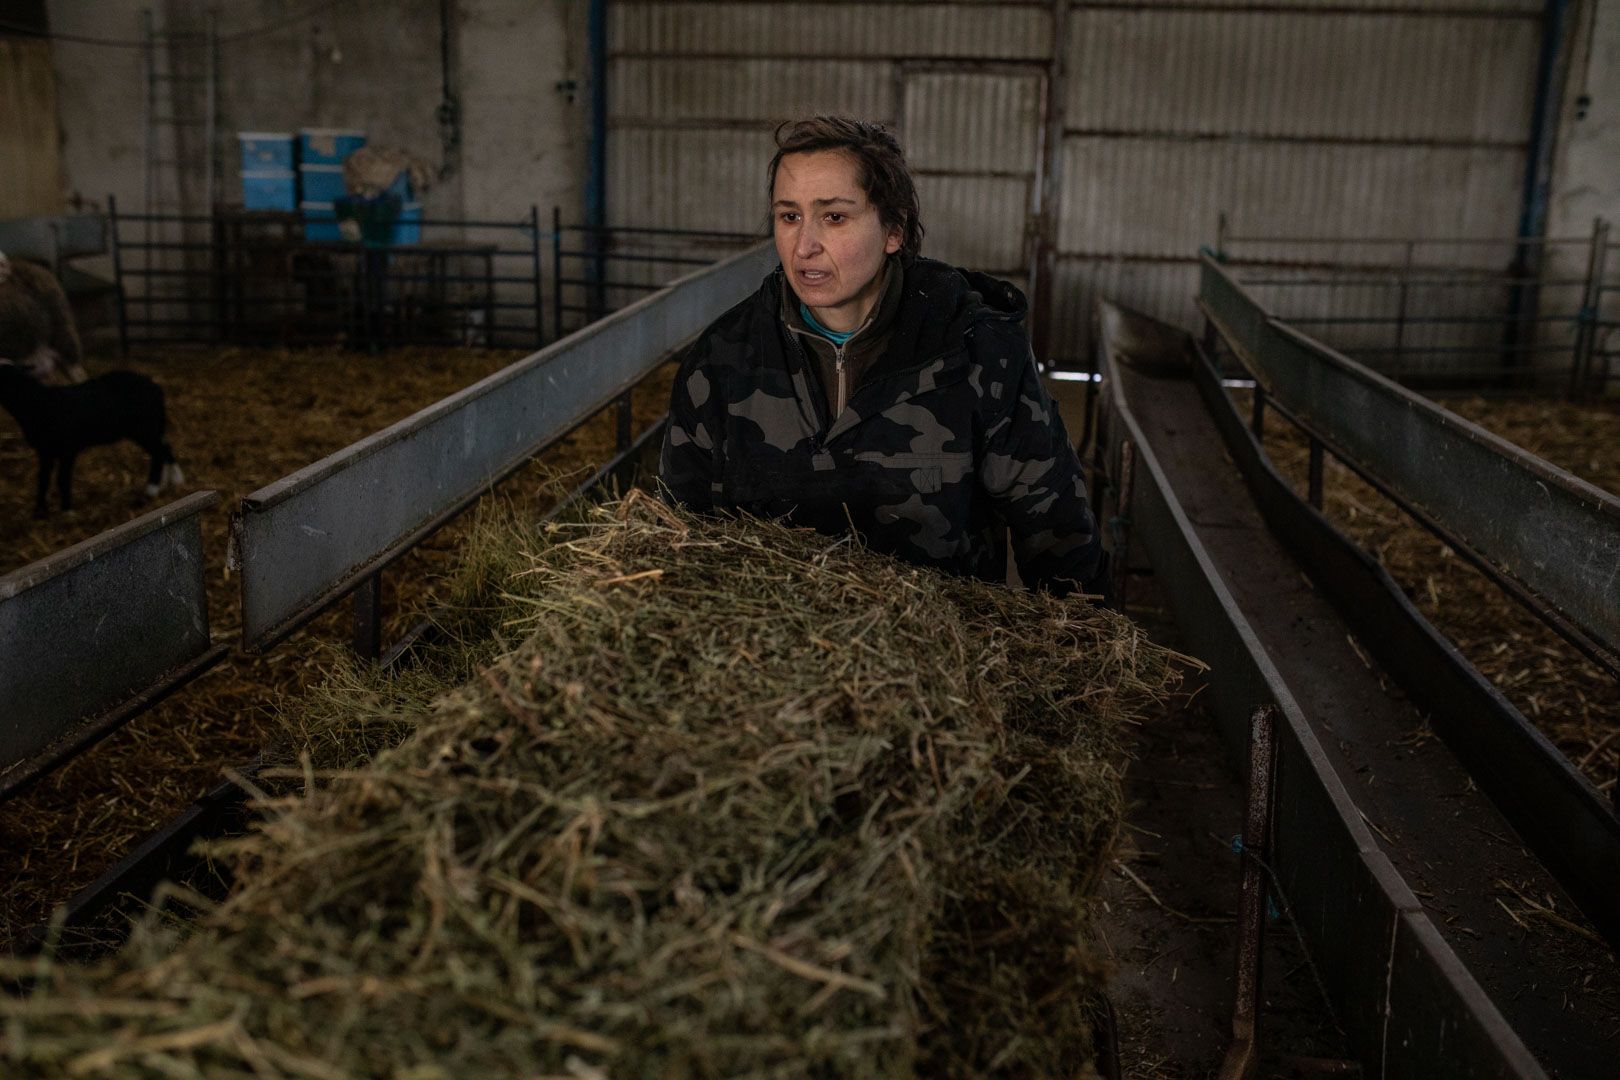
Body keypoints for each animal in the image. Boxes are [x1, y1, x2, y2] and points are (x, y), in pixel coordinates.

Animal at [0, 361, 183, 518]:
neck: (37, 404)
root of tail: (156, 387)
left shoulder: (68, 449)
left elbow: (61, 478)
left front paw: (67, 511)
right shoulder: (44, 450)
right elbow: (43, 479)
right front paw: (39, 511)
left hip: (143, 428)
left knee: (159, 452)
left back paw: (153, 489)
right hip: (150, 427)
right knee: (165, 448)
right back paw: (171, 480)